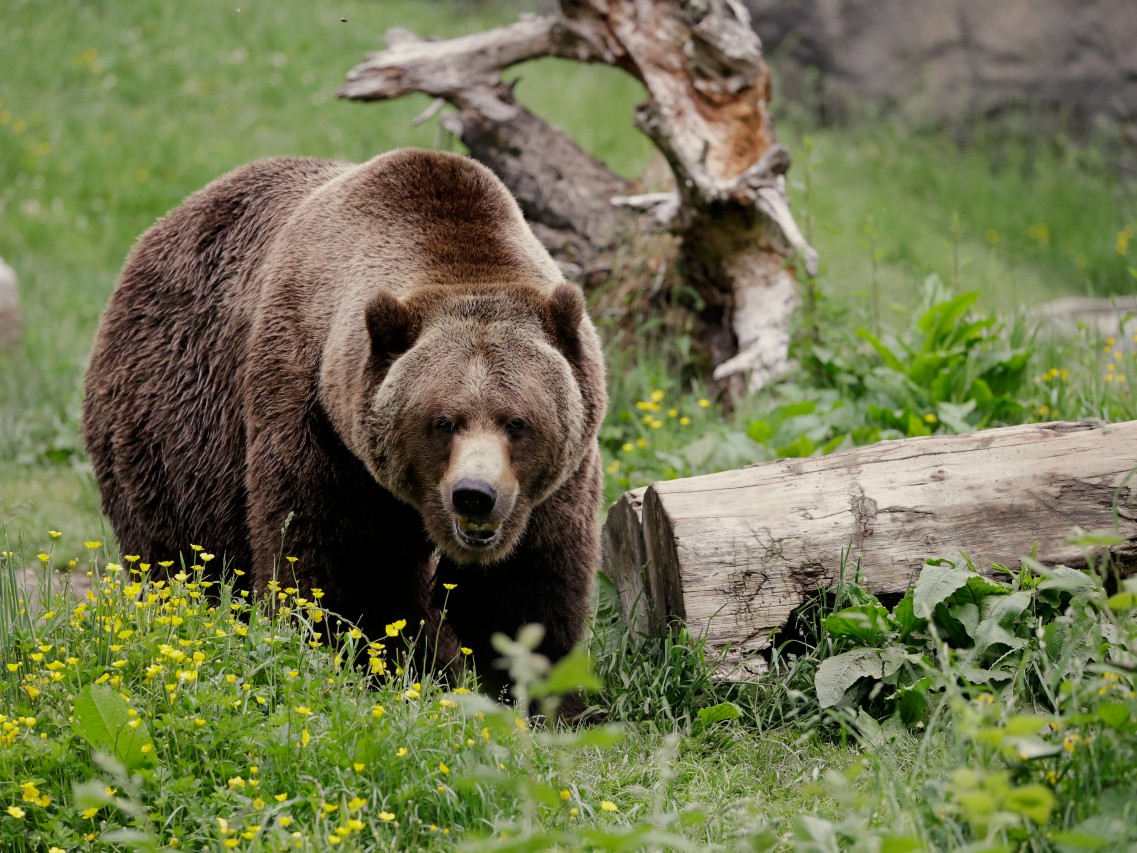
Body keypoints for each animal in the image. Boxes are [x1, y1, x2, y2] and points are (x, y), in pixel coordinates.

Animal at [81, 149, 607, 688]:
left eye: (516, 421)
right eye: (443, 421)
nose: (474, 495)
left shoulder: (555, 483)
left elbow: (525, 591)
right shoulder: (317, 421)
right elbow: (339, 569)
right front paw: (373, 663)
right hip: (175, 427)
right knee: (182, 553)